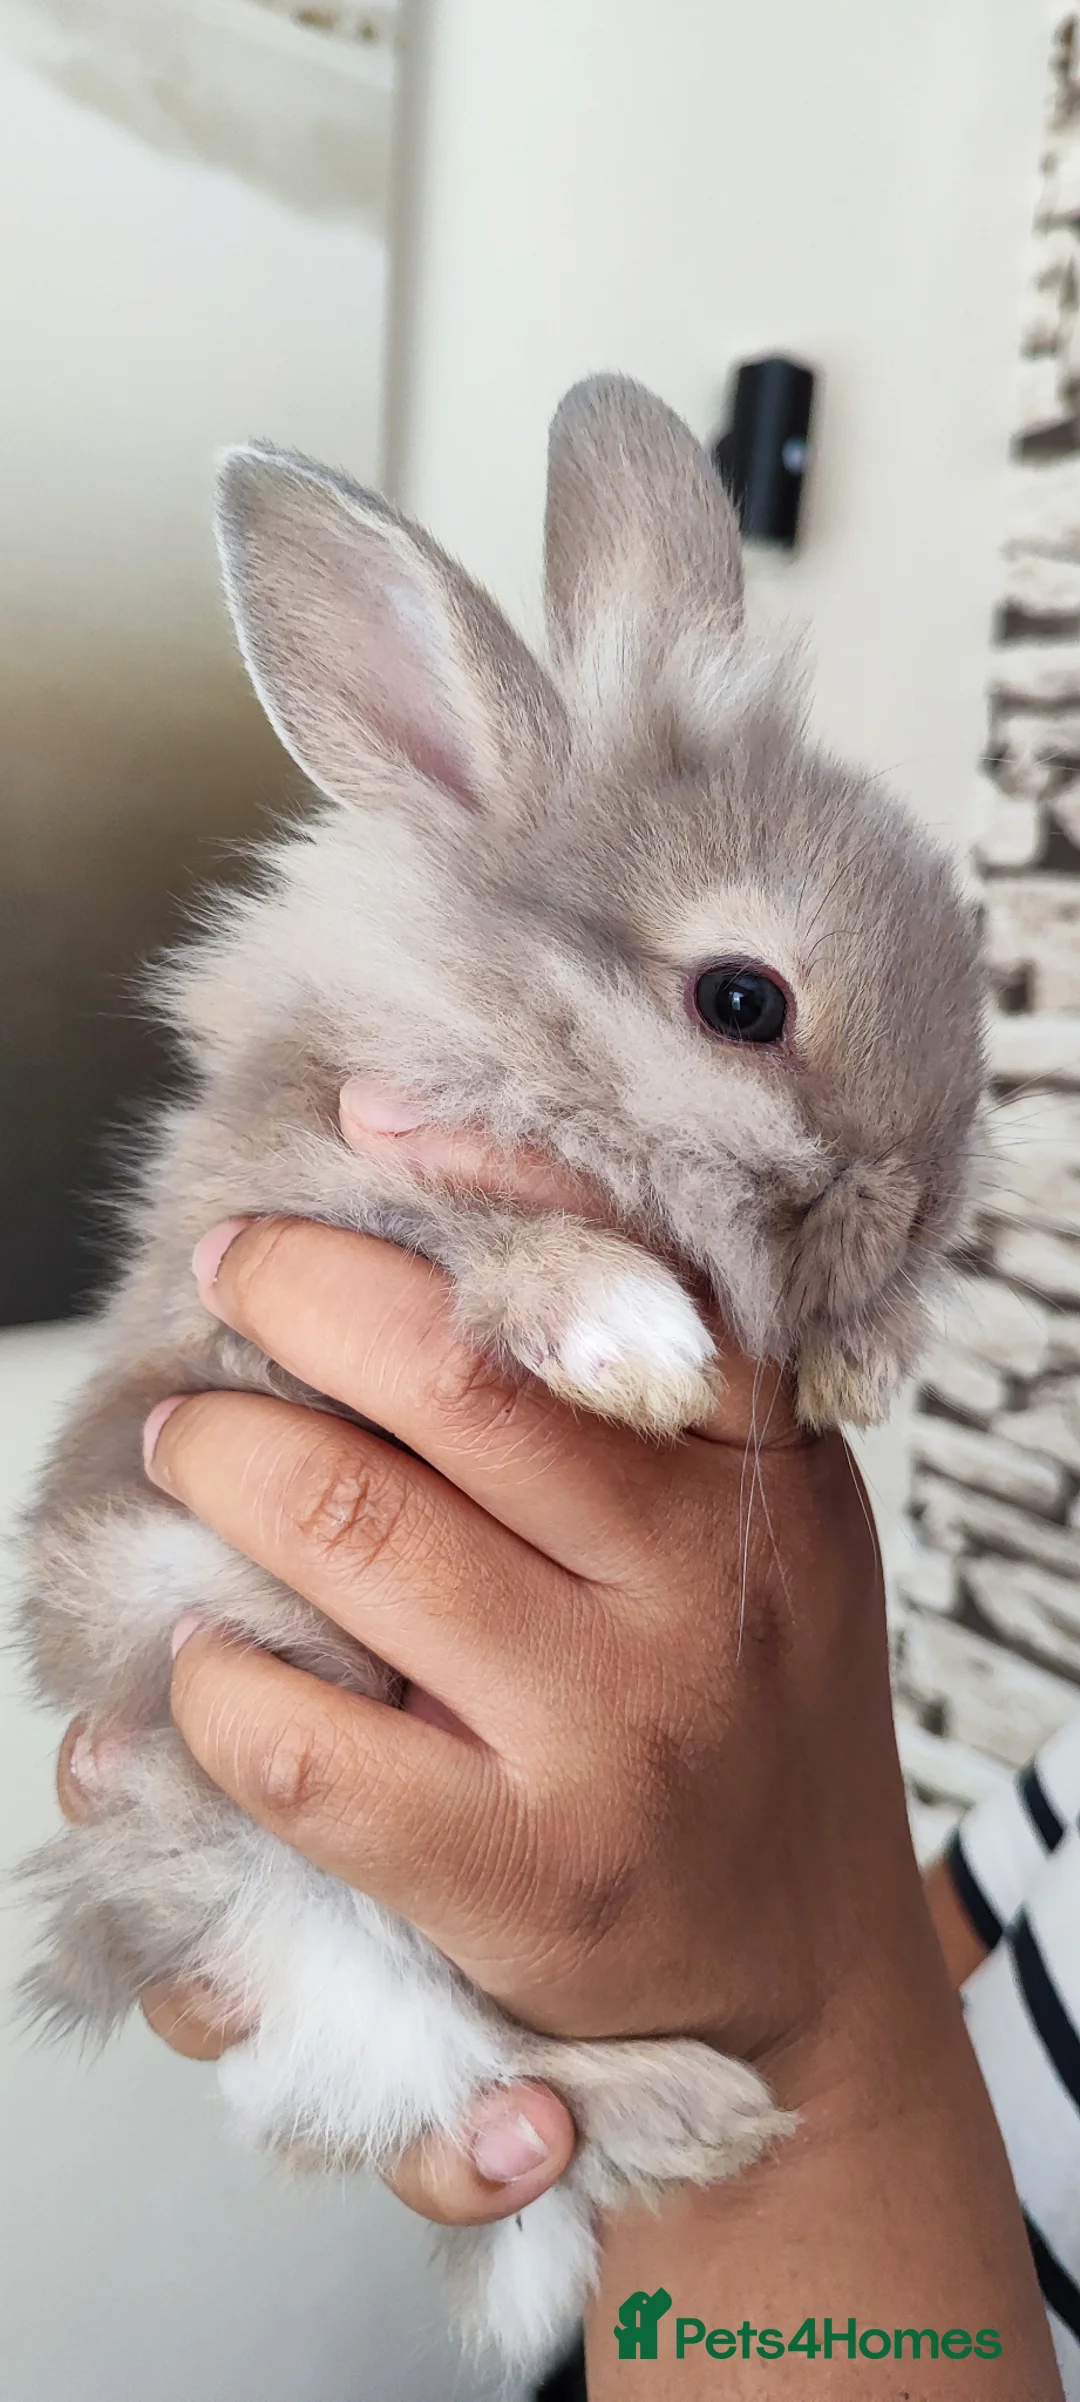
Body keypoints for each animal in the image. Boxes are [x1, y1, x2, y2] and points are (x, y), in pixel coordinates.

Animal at [17, 375, 985, 2376]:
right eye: (742, 1000)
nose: (927, 1194)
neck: (526, 1028)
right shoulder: (314, 1225)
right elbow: (486, 1242)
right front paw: (635, 1339)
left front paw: (861, 1359)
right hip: (297, 1908)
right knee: (466, 2082)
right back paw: (700, 2108)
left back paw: (707, 2113)